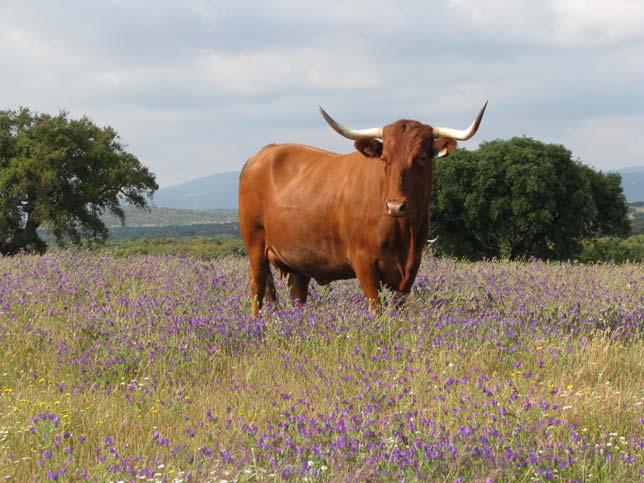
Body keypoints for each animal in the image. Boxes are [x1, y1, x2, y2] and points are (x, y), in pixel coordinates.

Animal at [239, 101, 486, 318]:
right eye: (385, 158)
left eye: (422, 157)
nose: (395, 206)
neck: (403, 231)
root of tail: (263, 153)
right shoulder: (364, 263)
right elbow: (375, 309)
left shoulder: (410, 269)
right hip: (255, 245)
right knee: (257, 287)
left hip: (299, 260)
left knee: (296, 295)